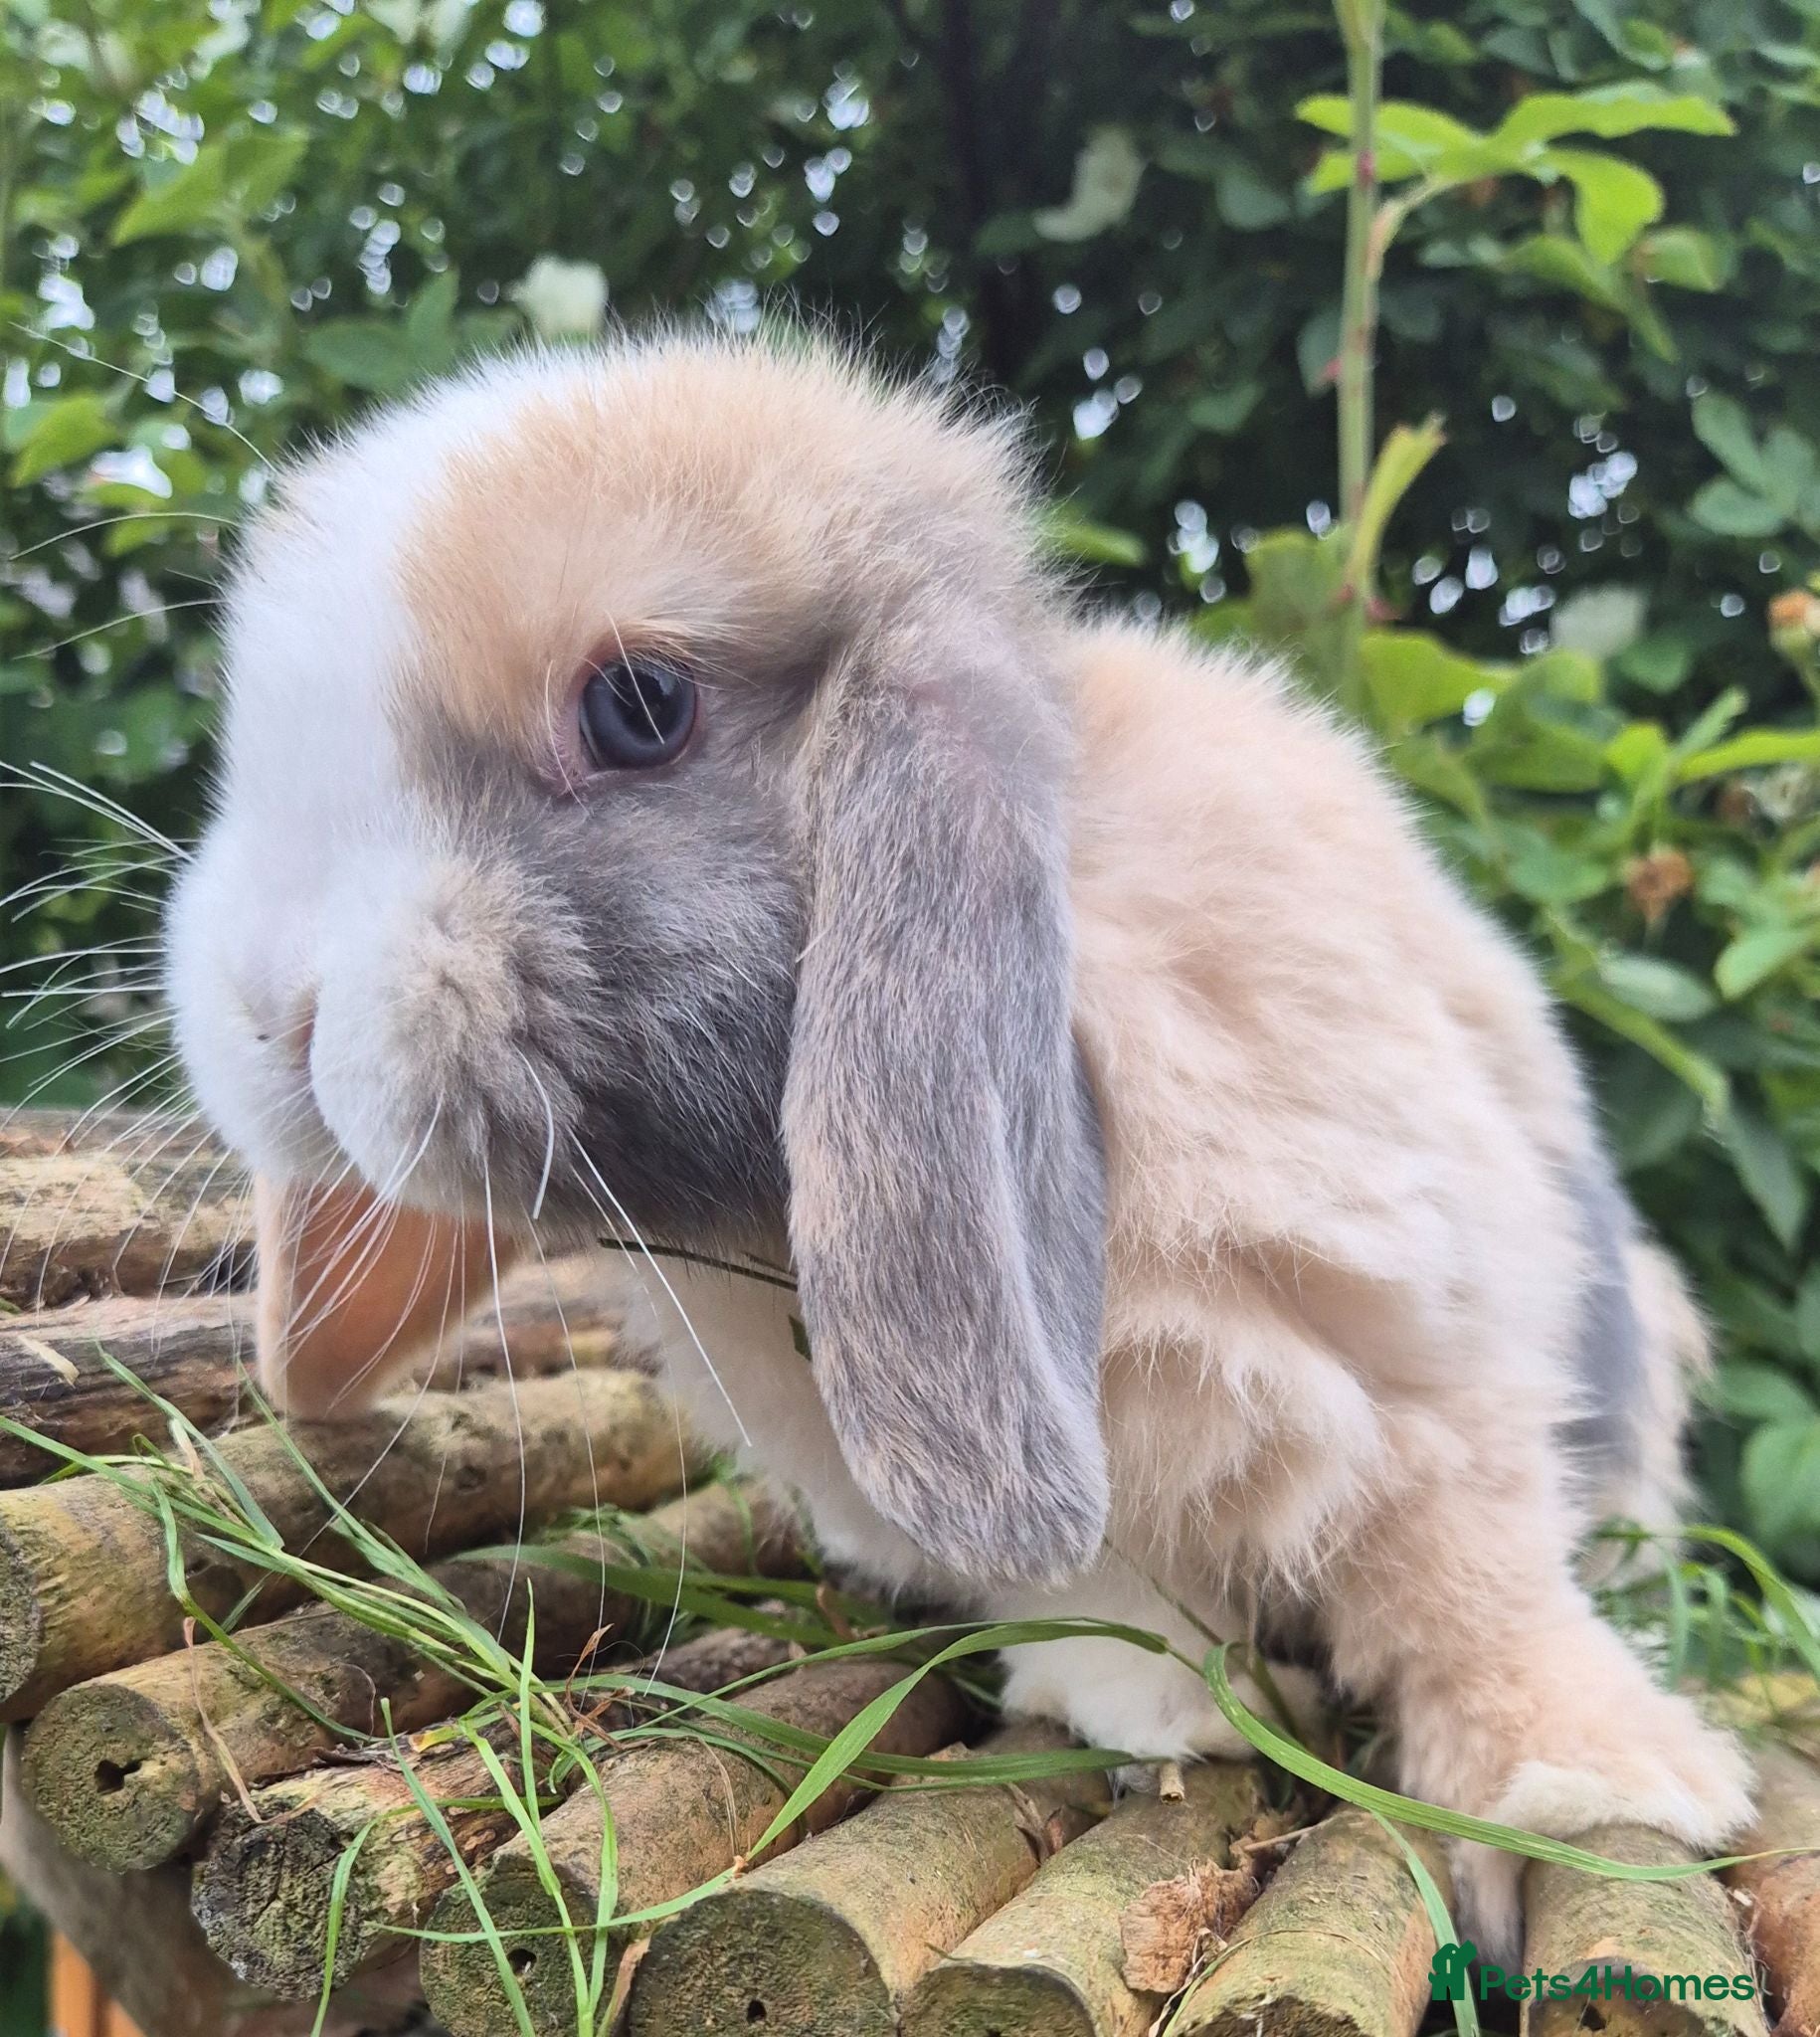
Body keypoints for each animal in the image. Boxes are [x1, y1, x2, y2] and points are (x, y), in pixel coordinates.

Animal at [164, 332, 1751, 1955]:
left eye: (641, 706)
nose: (264, 1006)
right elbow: (1109, 1576)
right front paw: (1152, 1712)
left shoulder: (1424, 1364)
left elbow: (1467, 1585)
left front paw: (1588, 1789)